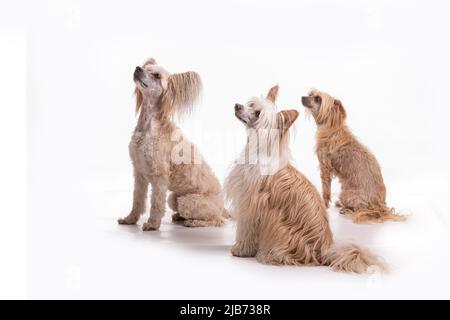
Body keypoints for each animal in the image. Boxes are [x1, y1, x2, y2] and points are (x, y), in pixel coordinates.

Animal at [118, 58, 229, 230]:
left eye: (156, 75)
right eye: (145, 68)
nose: (137, 68)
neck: (148, 126)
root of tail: (222, 207)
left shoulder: (159, 176)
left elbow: (156, 203)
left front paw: (152, 224)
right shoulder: (139, 172)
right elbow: (137, 200)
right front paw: (130, 219)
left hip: (189, 201)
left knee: (216, 220)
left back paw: (193, 222)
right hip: (174, 198)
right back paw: (179, 217)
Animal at [225, 85, 384, 272]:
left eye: (257, 113)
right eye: (250, 104)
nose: (237, 105)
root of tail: (324, 251)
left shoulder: (249, 206)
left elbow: (245, 231)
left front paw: (241, 250)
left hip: (283, 232)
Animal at [302, 89, 404, 224]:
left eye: (318, 99)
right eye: (310, 94)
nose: (302, 97)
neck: (331, 127)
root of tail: (379, 207)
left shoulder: (325, 168)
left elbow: (326, 191)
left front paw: (324, 205)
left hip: (346, 194)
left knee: (359, 210)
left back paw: (345, 209)